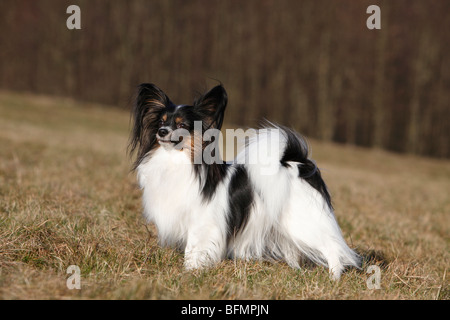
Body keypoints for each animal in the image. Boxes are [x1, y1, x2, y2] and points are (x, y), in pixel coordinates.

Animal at [128, 83, 360, 280]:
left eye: (182, 125)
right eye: (161, 122)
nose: (162, 132)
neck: (175, 161)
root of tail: (300, 164)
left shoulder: (201, 223)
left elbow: (192, 249)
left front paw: (190, 272)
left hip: (304, 223)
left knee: (333, 248)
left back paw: (333, 278)